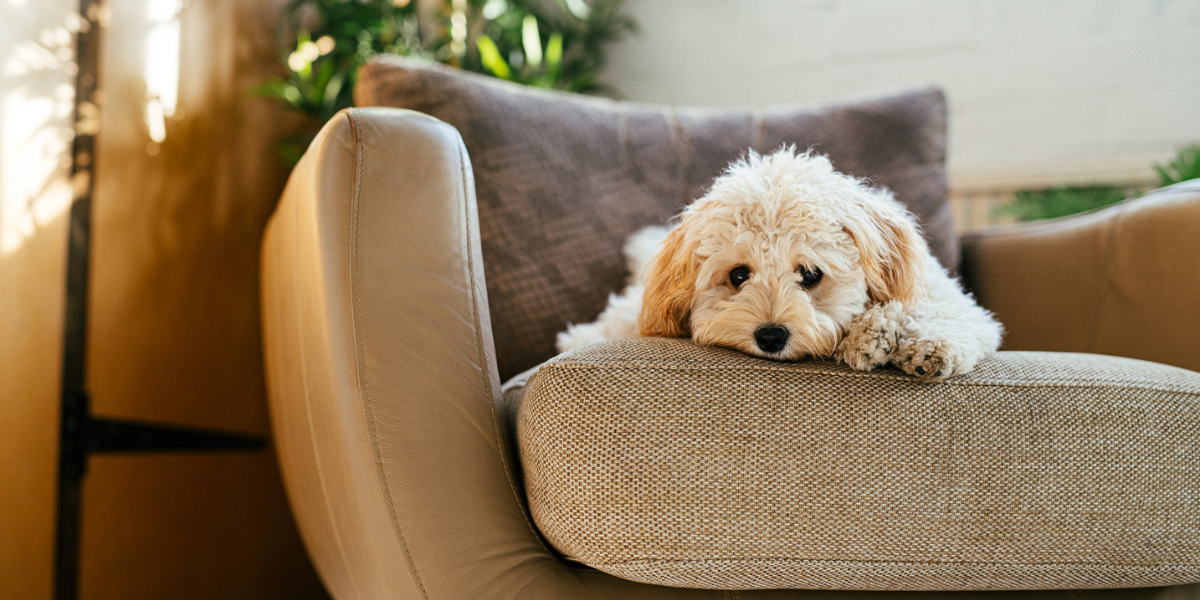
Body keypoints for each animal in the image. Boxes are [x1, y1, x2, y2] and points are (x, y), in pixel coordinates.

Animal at [554, 146, 1003, 379]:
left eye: (811, 274)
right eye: (738, 275)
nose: (770, 336)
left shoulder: (945, 296)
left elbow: (945, 314)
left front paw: (916, 341)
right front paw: (874, 336)